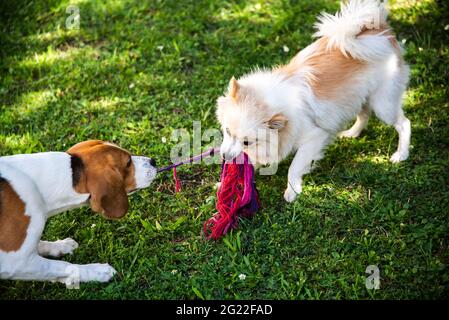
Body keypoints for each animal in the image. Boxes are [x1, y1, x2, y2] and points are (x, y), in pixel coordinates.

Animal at [0, 140, 157, 284]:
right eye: (128, 162)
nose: (153, 161)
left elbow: (39, 244)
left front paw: (60, 246)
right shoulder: (17, 262)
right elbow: (64, 266)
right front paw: (97, 271)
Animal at [216, 0, 410, 202]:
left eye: (247, 142)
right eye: (227, 131)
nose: (225, 156)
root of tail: (381, 30)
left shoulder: (314, 137)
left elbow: (294, 167)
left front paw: (292, 191)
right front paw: (226, 185)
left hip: (383, 104)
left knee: (404, 123)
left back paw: (401, 154)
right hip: (359, 97)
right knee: (364, 115)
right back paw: (352, 134)